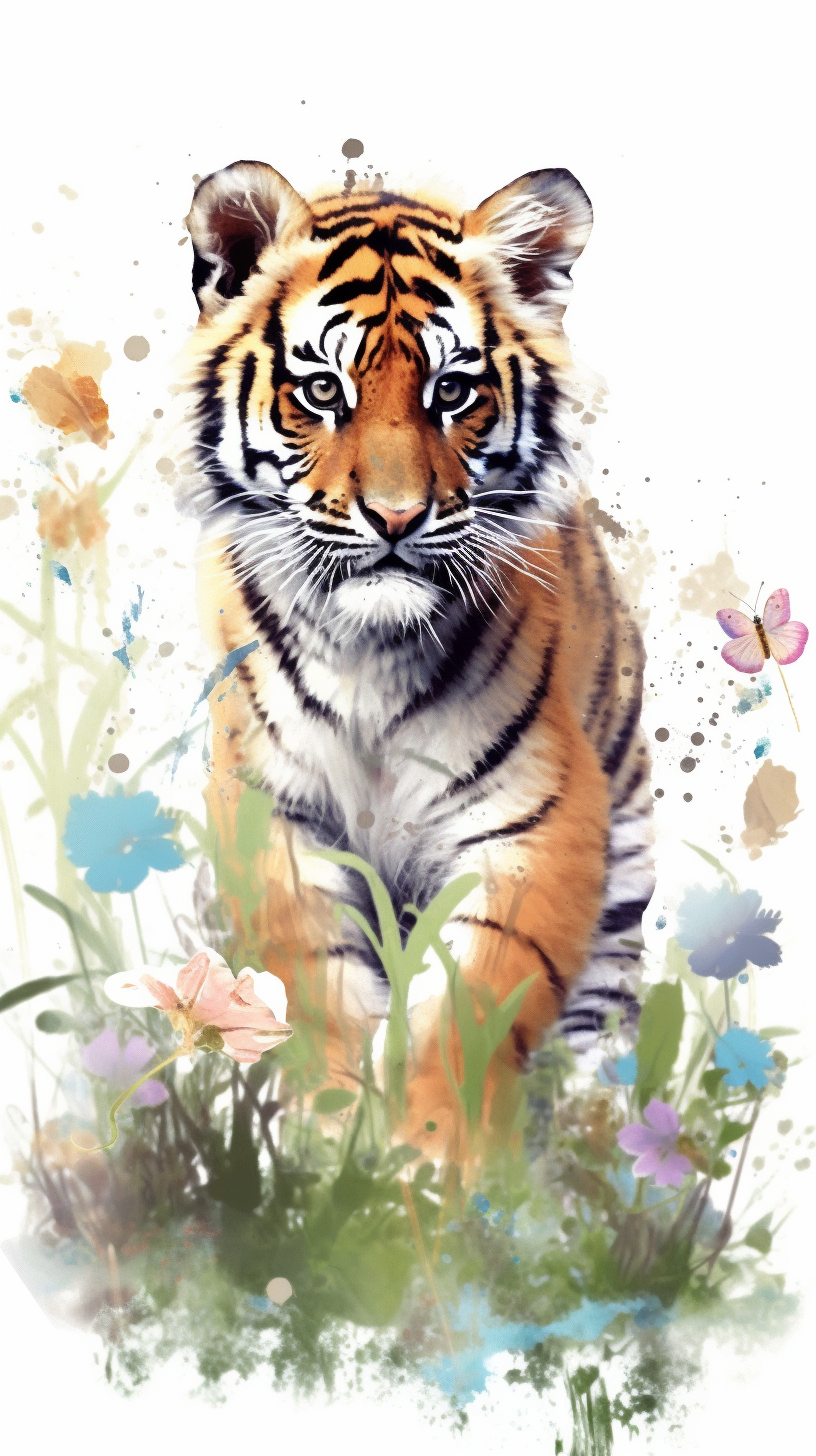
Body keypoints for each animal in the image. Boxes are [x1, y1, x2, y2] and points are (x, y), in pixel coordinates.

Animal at [176, 158, 655, 1149]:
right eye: (324, 392)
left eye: (453, 392)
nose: (396, 518)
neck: (369, 651)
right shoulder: (273, 812)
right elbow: (313, 990)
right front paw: (326, 1143)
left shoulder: (533, 823)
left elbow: (472, 1010)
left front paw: (432, 1163)